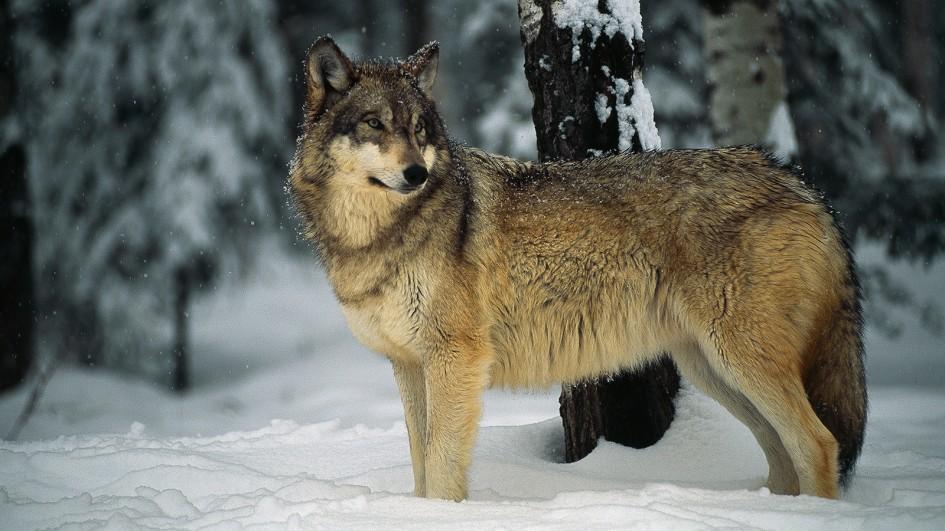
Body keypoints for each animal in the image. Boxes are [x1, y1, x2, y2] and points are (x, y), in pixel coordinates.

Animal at [289, 36, 867, 501]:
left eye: (419, 129)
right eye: (374, 125)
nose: (416, 173)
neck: (378, 238)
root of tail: (801, 185)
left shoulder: (455, 359)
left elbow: (441, 467)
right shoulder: (408, 365)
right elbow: (419, 464)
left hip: (739, 359)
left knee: (819, 442)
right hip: (713, 369)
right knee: (783, 453)